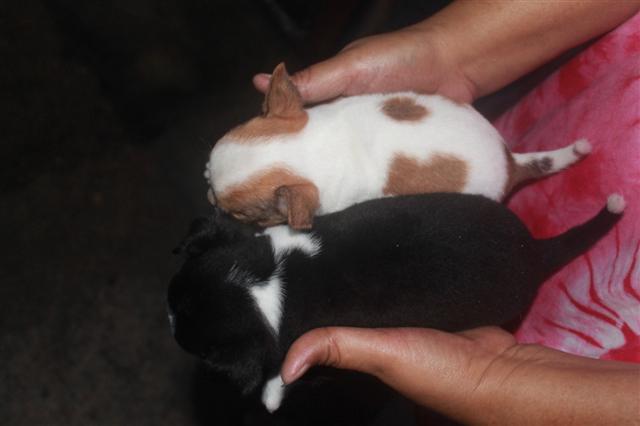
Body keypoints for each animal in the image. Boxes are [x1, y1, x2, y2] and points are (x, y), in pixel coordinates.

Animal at [167, 192, 624, 413]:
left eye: (201, 348)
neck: (263, 279)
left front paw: (270, 396)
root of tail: (537, 252)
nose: (169, 319)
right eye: (175, 297)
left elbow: (281, 371)